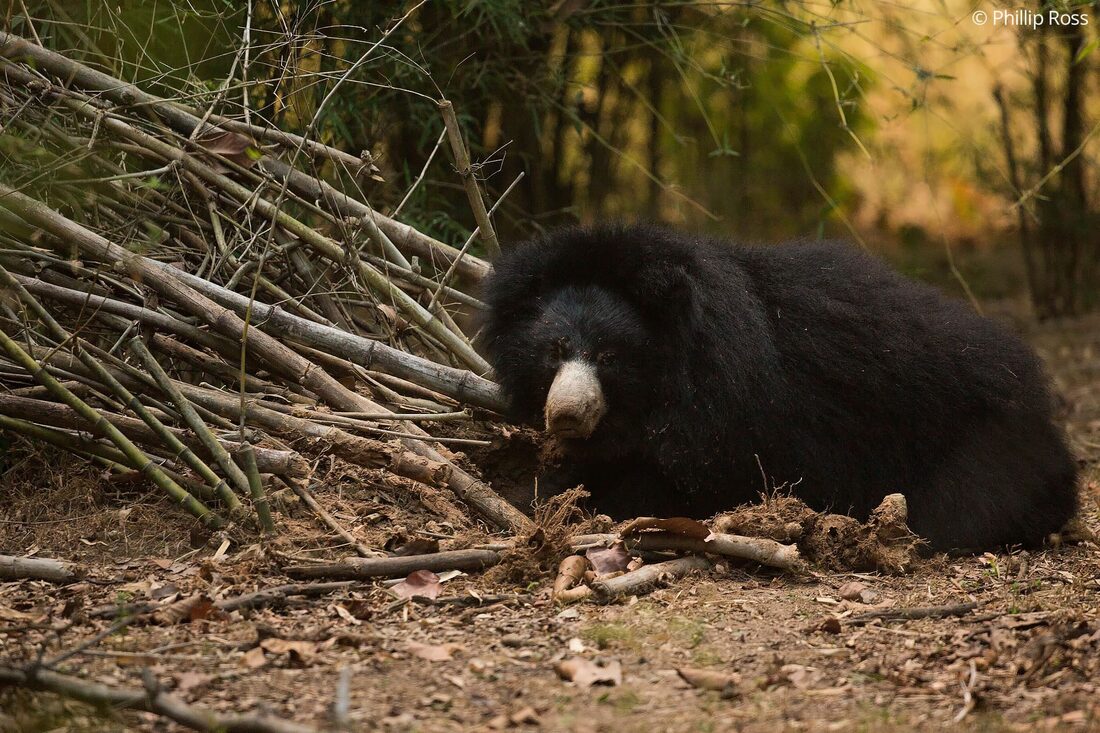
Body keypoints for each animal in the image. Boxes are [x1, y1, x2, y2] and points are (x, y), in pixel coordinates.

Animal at [480, 223, 1079, 552]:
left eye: (609, 356)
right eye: (555, 350)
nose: (566, 414)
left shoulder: (727, 421)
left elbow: (679, 482)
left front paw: (546, 498)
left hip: (977, 451)